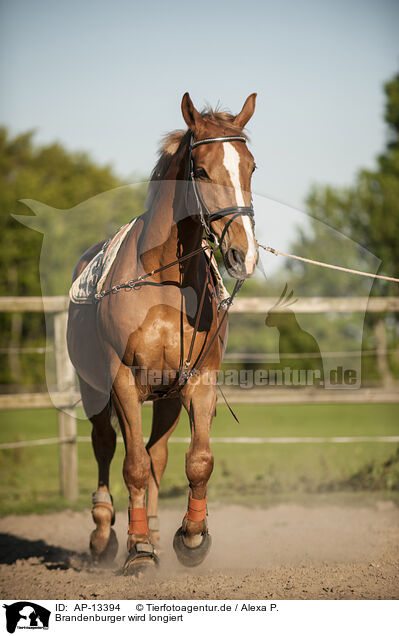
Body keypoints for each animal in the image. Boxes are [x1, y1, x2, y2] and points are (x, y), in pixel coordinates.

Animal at [66, 92, 260, 572]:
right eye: (202, 170)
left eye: (251, 167)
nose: (242, 254)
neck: (167, 283)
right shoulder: (122, 382)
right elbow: (132, 464)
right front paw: (137, 551)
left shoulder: (198, 381)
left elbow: (197, 460)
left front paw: (191, 536)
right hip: (93, 387)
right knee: (106, 445)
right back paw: (105, 536)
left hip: (167, 397)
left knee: (157, 454)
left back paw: (152, 530)